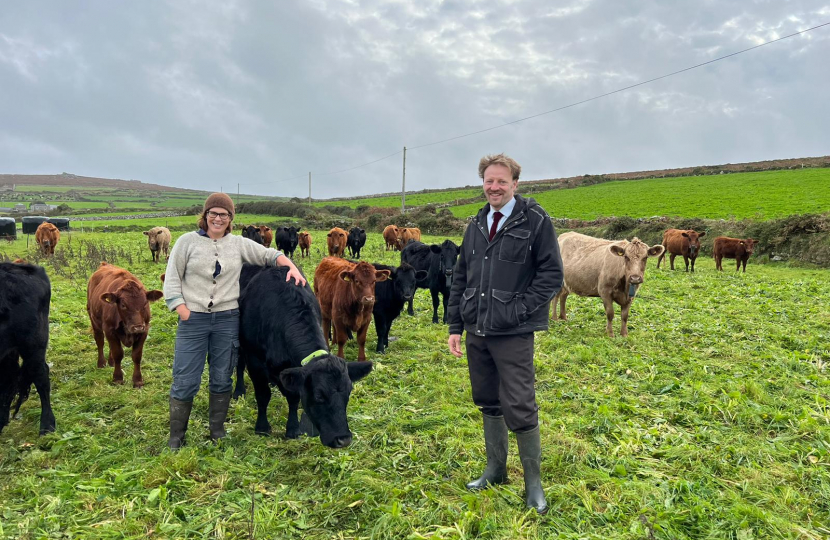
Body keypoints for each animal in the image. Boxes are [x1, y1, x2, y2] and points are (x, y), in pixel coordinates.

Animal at [237, 264, 374, 448]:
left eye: (348, 392)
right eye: (319, 395)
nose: (343, 439)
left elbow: (293, 397)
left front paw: (293, 429)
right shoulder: (254, 361)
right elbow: (263, 395)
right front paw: (262, 427)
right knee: (238, 364)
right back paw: (238, 391)